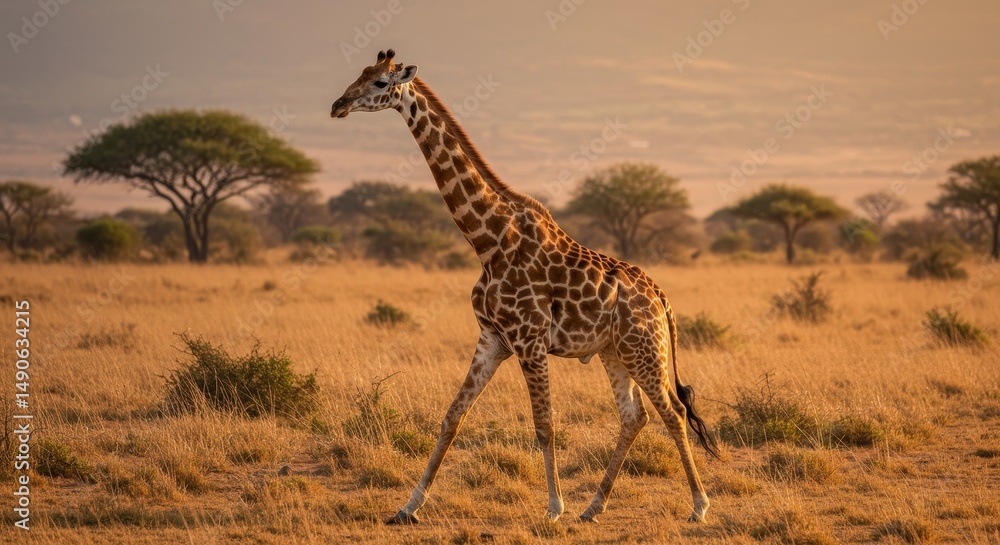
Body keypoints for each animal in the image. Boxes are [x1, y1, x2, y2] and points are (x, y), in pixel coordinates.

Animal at [330, 49, 718, 525]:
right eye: (361, 74)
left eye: (381, 82)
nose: (338, 106)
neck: (489, 240)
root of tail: (662, 300)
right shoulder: (492, 339)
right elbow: (451, 417)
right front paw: (408, 507)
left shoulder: (529, 341)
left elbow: (544, 424)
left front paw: (553, 507)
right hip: (613, 351)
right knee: (634, 416)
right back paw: (594, 507)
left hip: (643, 349)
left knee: (674, 411)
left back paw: (698, 506)